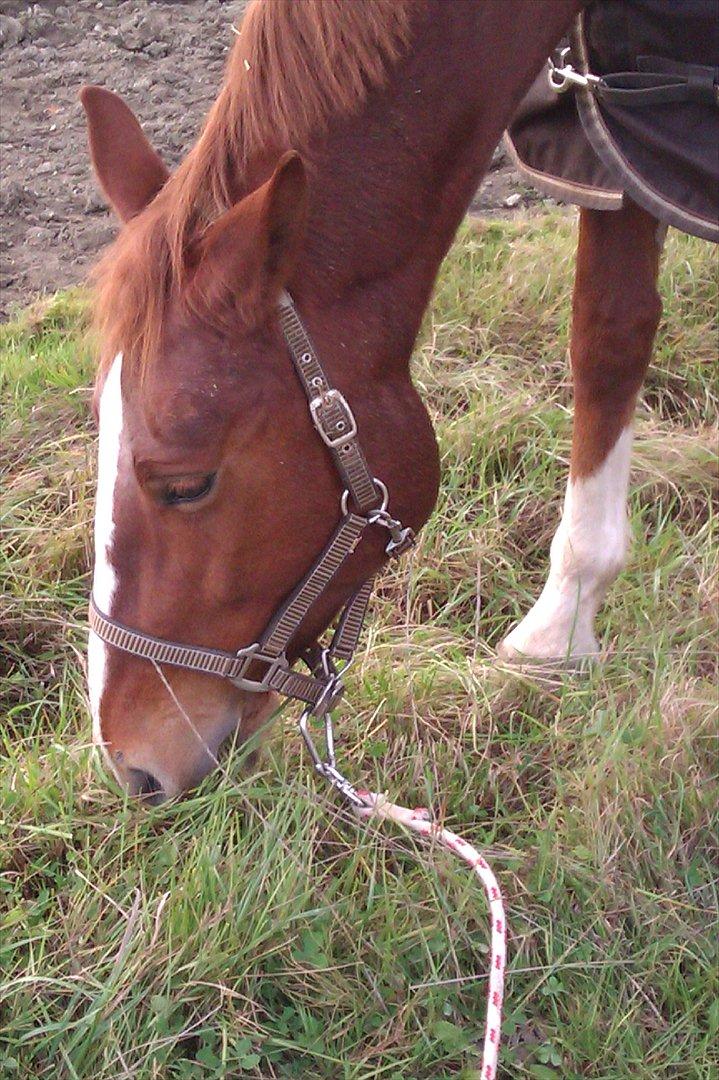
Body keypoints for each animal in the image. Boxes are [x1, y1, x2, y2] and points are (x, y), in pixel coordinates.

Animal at [79, 0, 660, 803]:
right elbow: (606, 331)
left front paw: (559, 627)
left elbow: (611, 338)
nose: (130, 766)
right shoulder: (609, 138)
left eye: (187, 484)